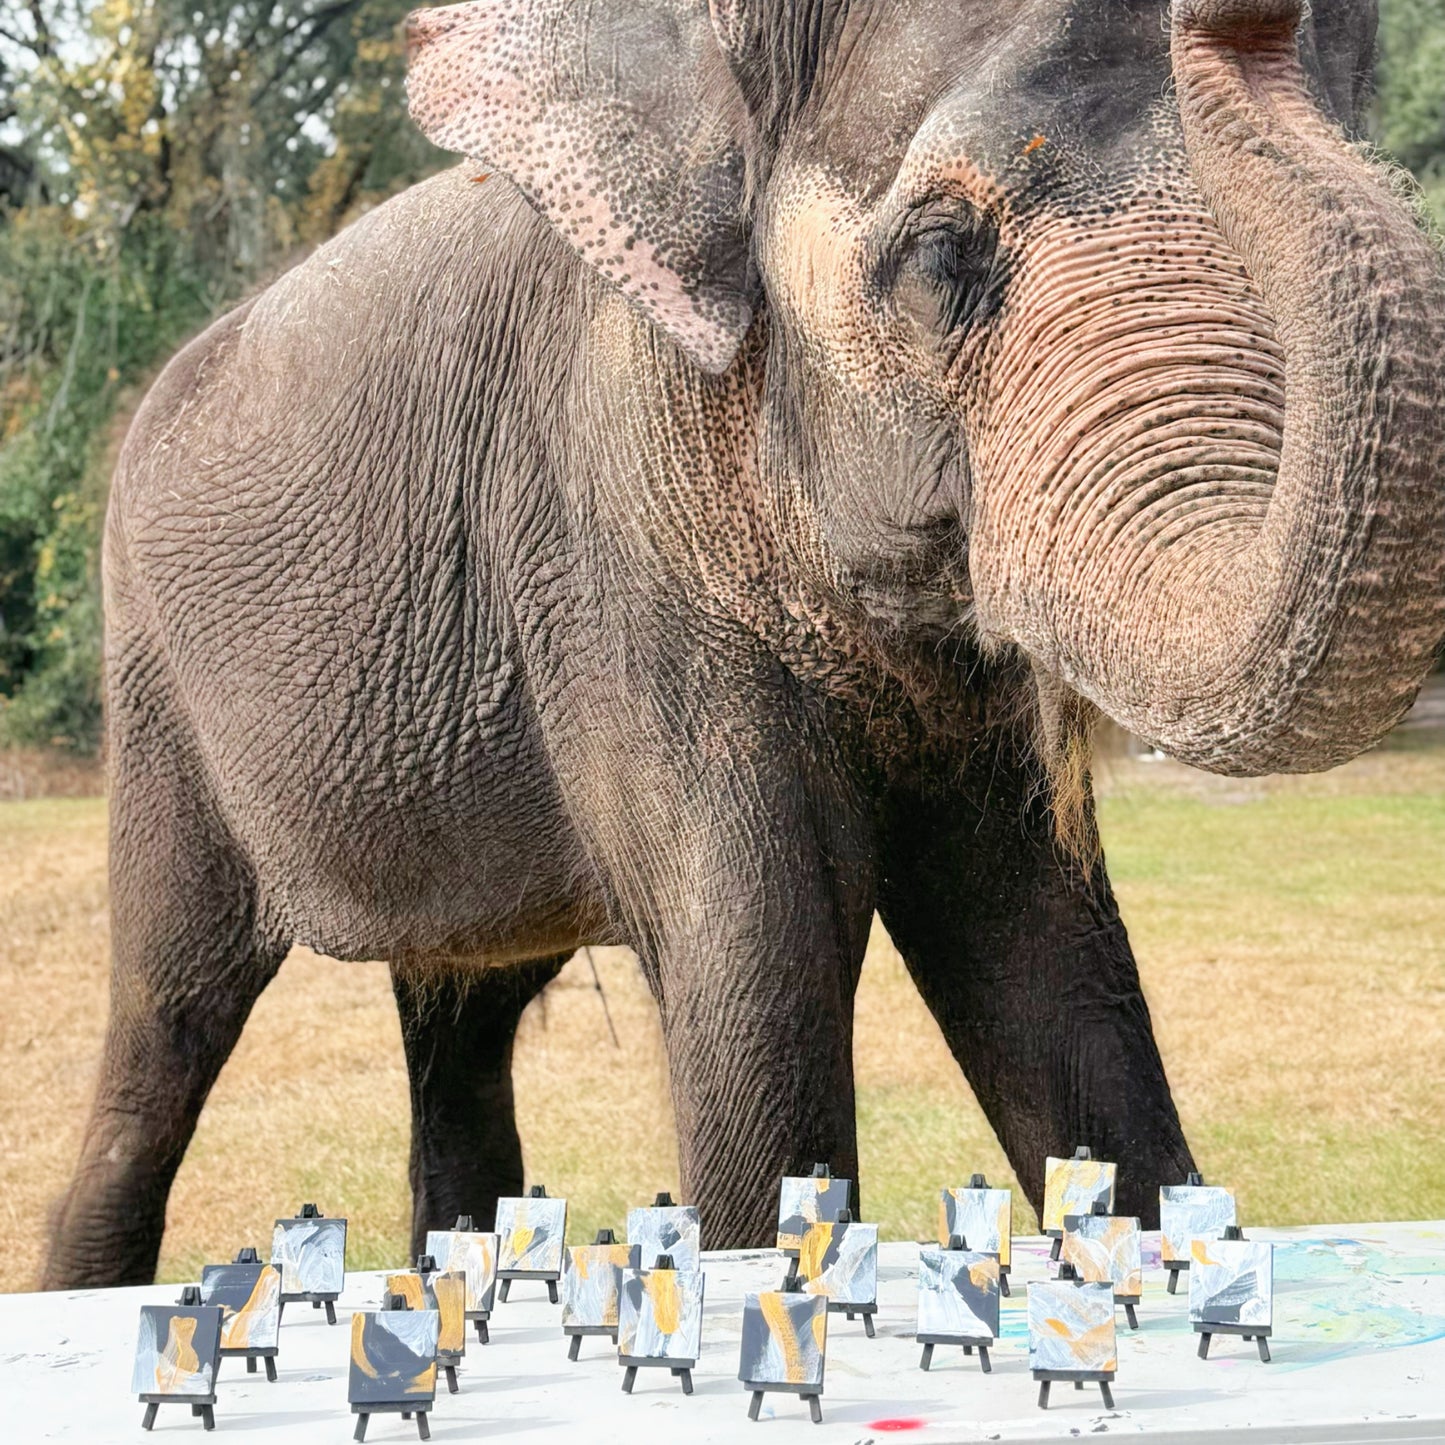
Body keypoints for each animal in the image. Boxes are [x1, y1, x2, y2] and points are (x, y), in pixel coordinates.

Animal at [44, 0, 1445, 1287]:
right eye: (941, 254)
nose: (1236, 15)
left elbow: (1052, 967)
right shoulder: (611, 539)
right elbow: (760, 984)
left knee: (461, 1022)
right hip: (155, 687)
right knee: (168, 1017)